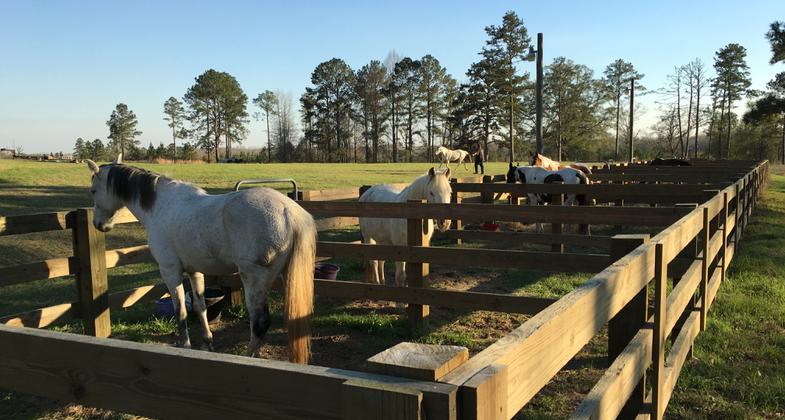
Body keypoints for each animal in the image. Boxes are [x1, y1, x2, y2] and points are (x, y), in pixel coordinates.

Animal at [85, 155, 315, 364]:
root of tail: (288, 211)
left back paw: (247, 357)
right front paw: (207, 343)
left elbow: (180, 311)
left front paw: (185, 345)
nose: (99, 225)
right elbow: (200, 306)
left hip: (254, 279)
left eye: (93, 191)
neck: (160, 206)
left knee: (260, 323)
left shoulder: (170, 271)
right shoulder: (195, 271)